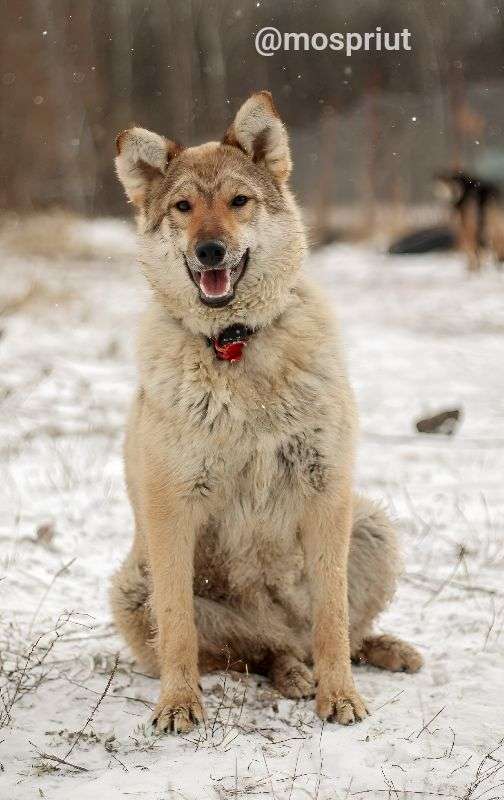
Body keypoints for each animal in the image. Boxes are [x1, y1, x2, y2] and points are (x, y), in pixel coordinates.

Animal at [110, 90, 422, 736]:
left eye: (239, 201)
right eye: (183, 206)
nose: (210, 249)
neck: (236, 344)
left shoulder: (327, 491)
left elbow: (333, 619)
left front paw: (342, 696)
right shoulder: (172, 508)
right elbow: (178, 628)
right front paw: (179, 704)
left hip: (370, 523)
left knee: (335, 634)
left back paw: (374, 653)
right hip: (135, 583)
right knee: (256, 653)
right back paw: (286, 673)